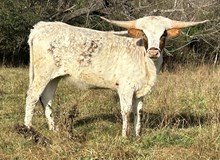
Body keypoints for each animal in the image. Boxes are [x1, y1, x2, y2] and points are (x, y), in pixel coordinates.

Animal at [24, 15, 208, 137]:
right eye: (144, 34)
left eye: (163, 34)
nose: (153, 52)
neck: (144, 60)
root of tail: (41, 27)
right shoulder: (125, 89)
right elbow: (126, 112)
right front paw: (125, 136)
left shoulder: (139, 92)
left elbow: (139, 112)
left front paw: (138, 135)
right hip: (42, 74)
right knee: (32, 96)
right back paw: (28, 129)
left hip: (54, 77)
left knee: (46, 98)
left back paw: (53, 129)